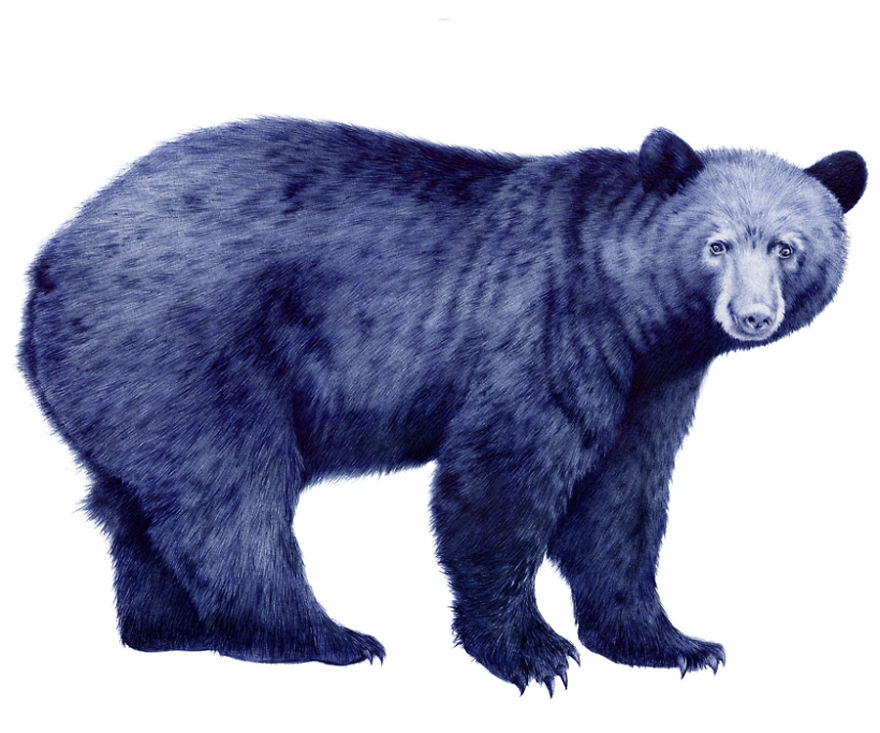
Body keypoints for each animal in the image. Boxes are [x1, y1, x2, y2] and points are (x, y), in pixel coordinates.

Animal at [20, 119, 866, 695]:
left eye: (787, 245)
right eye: (717, 244)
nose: (751, 315)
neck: (633, 311)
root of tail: (48, 261)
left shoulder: (651, 385)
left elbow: (621, 500)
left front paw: (674, 643)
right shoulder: (548, 326)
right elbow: (502, 477)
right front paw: (533, 651)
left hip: (126, 383)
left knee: (135, 502)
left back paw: (168, 627)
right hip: (190, 346)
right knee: (228, 494)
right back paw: (318, 634)